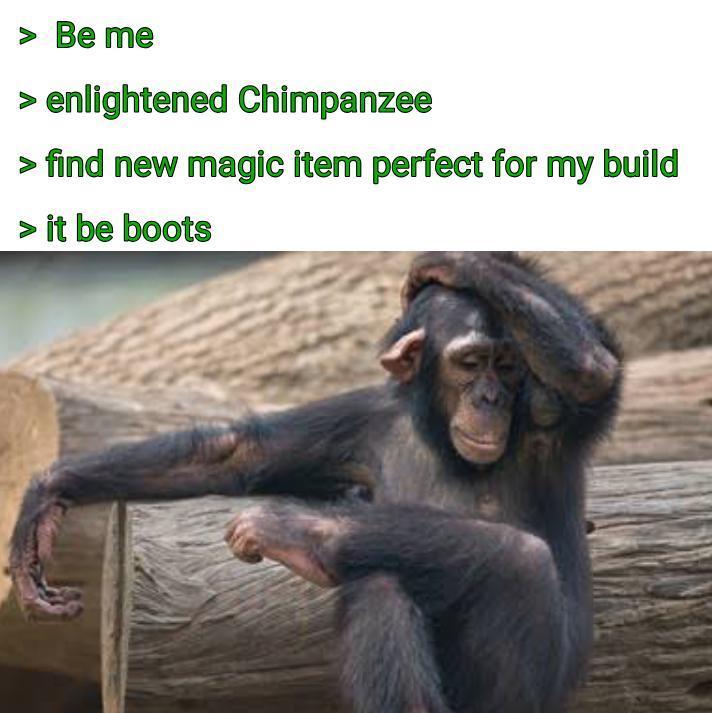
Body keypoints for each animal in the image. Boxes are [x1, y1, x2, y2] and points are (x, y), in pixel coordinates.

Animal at [9, 251, 622, 713]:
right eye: (471, 363)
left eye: (509, 366)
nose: (492, 399)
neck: (439, 437)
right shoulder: (363, 418)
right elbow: (238, 452)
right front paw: (47, 498)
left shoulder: (550, 414)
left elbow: (590, 369)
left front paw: (454, 263)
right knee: (383, 586)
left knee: (520, 558)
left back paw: (303, 537)